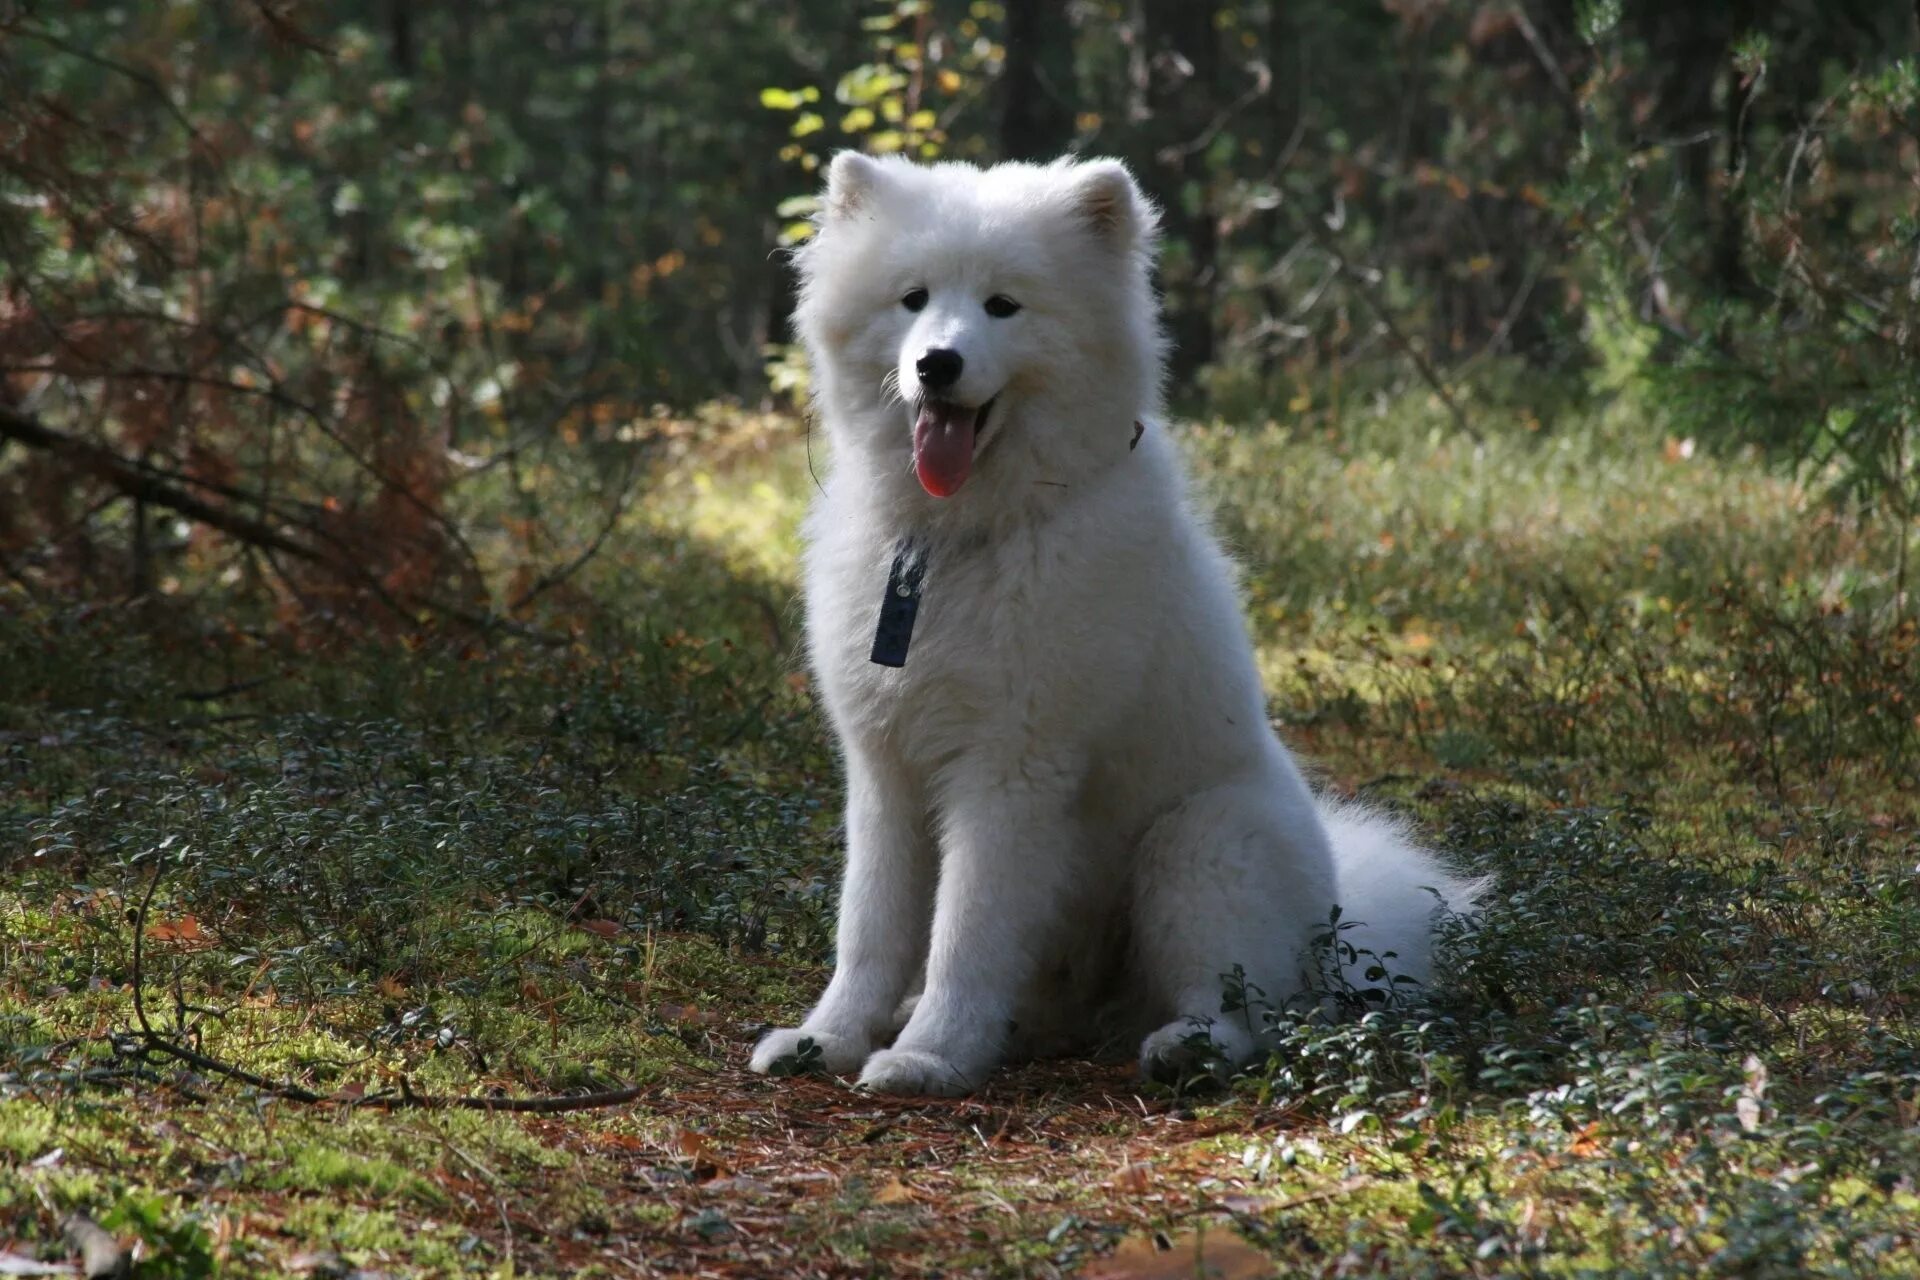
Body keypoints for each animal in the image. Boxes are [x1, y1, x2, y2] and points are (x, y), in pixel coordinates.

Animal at [748, 152, 1466, 1105]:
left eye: (1003, 306)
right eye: (913, 299)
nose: (937, 363)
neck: (958, 539)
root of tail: (1340, 920)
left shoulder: (1011, 770)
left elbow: (964, 936)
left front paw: (931, 1056)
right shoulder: (885, 769)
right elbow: (869, 929)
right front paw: (826, 1040)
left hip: (1198, 848)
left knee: (1244, 1011)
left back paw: (1184, 1047)